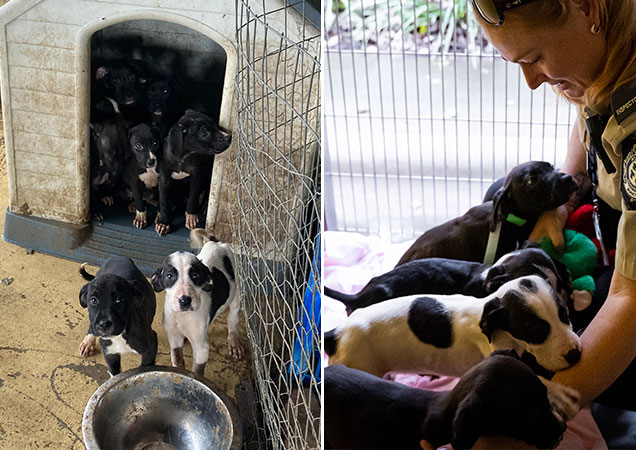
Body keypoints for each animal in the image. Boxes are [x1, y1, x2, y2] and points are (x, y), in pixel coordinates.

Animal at [151, 229, 243, 375]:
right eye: (169, 276)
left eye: (195, 275)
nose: (185, 300)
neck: (183, 316)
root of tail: (216, 242)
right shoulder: (174, 337)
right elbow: (177, 360)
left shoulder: (202, 348)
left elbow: (197, 372)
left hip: (237, 291)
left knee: (233, 317)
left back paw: (234, 341)